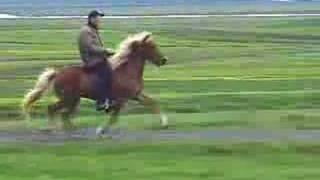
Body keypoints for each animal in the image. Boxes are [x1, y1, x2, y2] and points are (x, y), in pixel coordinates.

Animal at [21, 31, 169, 136]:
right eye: (151, 46)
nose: (163, 60)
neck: (127, 70)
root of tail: (57, 73)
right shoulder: (121, 99)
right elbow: (114, 117)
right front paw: (101, 130)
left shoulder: (136, 95)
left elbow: (153, 103)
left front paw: (164, 123)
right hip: (69, 99)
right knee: (53, 109)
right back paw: (53, 128)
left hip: (73, 100)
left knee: (63, 115)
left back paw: (70, 130)